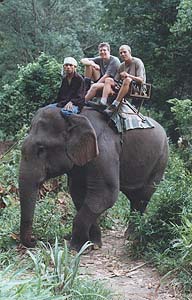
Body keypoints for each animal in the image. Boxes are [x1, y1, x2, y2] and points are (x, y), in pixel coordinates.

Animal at [19, 105, 168, 251]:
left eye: (41, 149)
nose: (34, 241)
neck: (75, 116)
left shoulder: (103, 148)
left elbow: (106, 193)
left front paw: (76, 248)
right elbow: (78, 194)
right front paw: (93, 244)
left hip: (160, 161)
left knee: (143, 197)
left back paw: (131, 237)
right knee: (135, 197)